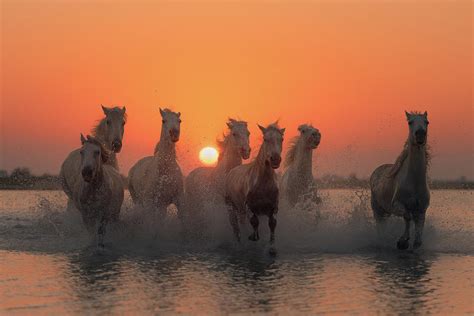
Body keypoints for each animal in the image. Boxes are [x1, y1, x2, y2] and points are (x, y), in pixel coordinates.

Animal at [368, 111, 432, 249]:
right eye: (410, 122)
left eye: (427, 122)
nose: (420, 134)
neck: (414, 182)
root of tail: (376, 171)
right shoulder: (397, 204)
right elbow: (407, 216)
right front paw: (402, 241)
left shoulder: (421, 209)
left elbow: (419, 229)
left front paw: (413, 242)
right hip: (377, 209)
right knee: (380, 225)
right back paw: (382, 240)